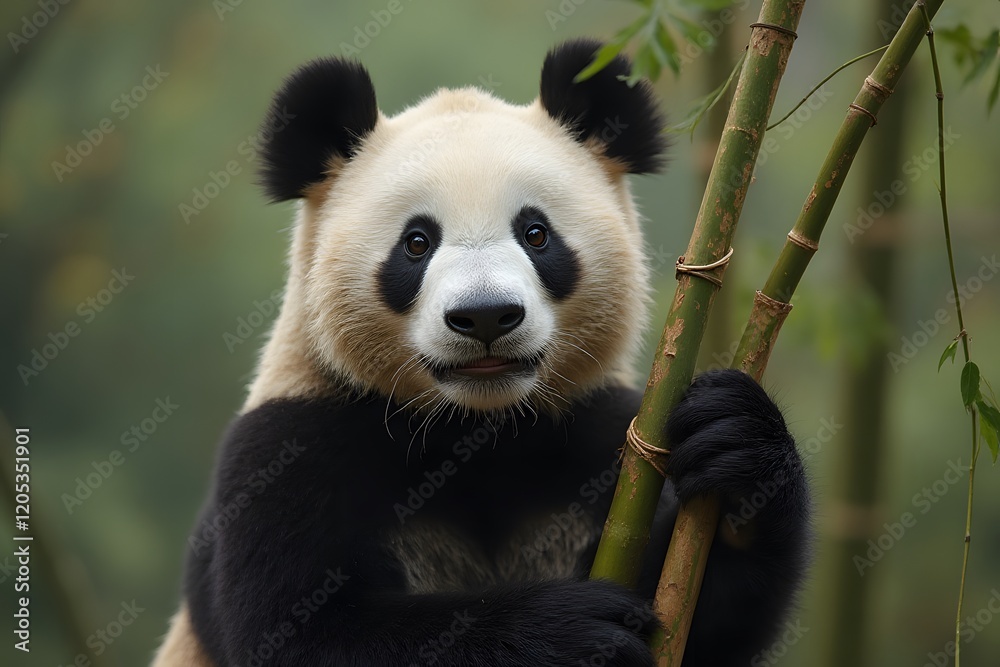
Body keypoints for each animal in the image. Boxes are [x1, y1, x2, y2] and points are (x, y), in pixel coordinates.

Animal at [153, 39, 810, 667]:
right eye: (416, 243)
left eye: (536, 233)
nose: (487, 315)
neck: (480, 428)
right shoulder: (292, 445)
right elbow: (305, 633)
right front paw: (568, 632)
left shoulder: (604, 438)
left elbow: (705, 620)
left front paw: (735, 440)